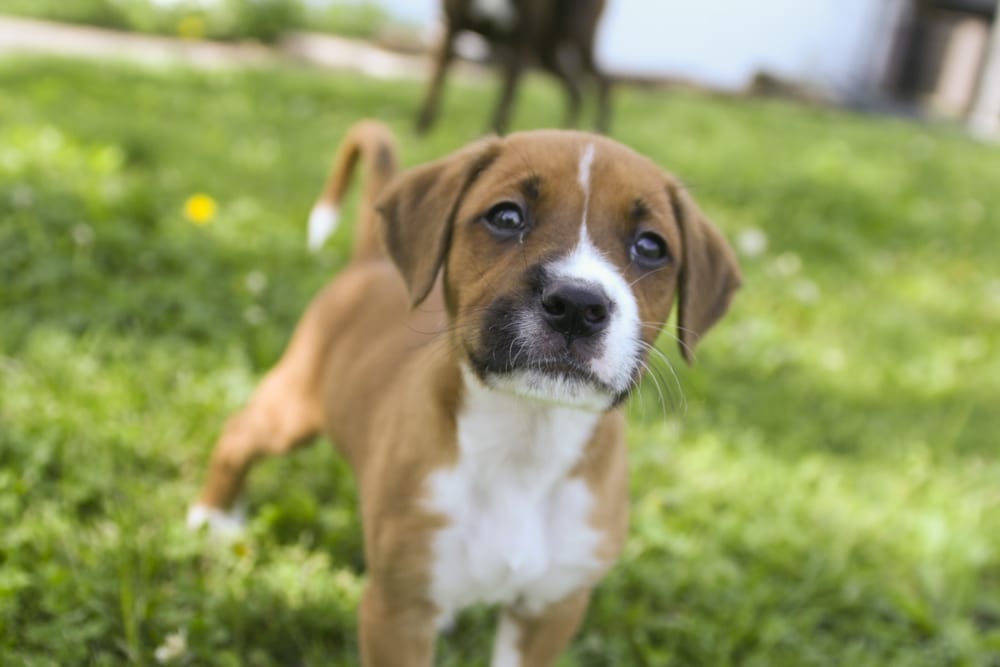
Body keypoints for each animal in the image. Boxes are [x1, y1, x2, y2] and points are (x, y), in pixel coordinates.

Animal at [191, 117, 744, 664]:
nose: (576, 304)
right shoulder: (398, 609)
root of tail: (369, 261)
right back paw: (210, 518)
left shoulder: (550, 609)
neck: (526, 443)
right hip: (293, 407)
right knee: (239, 433)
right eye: (507, 216)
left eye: (651, 246)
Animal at [414, 0, 608, 134]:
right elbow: (436, 86)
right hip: (547, 48)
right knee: (575, 91)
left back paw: (597, 129)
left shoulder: (520, 43)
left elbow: (504, 104)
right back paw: (568, 131)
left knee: (601, 80)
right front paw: (421, 133)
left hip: (579, 35)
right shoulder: (451, 26)